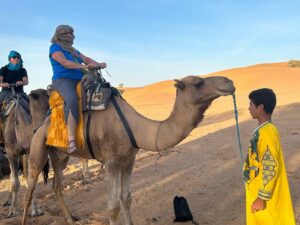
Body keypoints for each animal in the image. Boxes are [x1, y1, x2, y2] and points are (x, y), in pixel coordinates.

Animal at [0, 88, 48, 218]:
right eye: (35, 96)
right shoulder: (11, 153)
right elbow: (15, 182)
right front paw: (12, 211)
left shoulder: (27, 152)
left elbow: (29, 178)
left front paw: (36, 210)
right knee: (12, 176)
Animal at [22, 76, 236, 225]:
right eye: (199, 82)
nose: (229, 82)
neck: (135, 127)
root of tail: (42, 125)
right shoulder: (111, 163)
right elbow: (112, 206)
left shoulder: (129, 160)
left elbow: (126, 198)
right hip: (37, 148)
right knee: (30, 187)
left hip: (60, 156)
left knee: (57, 186)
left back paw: (69, 218)